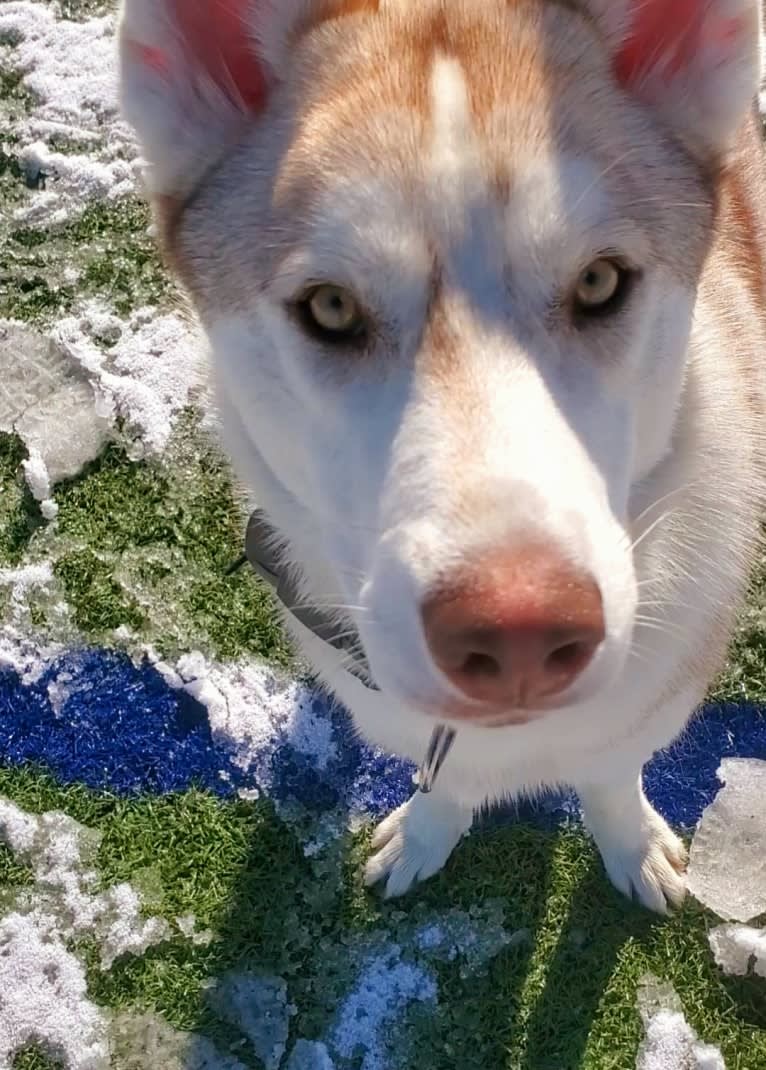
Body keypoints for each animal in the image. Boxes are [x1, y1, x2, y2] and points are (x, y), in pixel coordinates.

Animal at [118, 0, 766, 915]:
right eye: (330, 306)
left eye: (600, 282)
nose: (521, 632)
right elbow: (447, 786)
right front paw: (428, 834)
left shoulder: (645, 708)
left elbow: (609, 774)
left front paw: (631, 846)